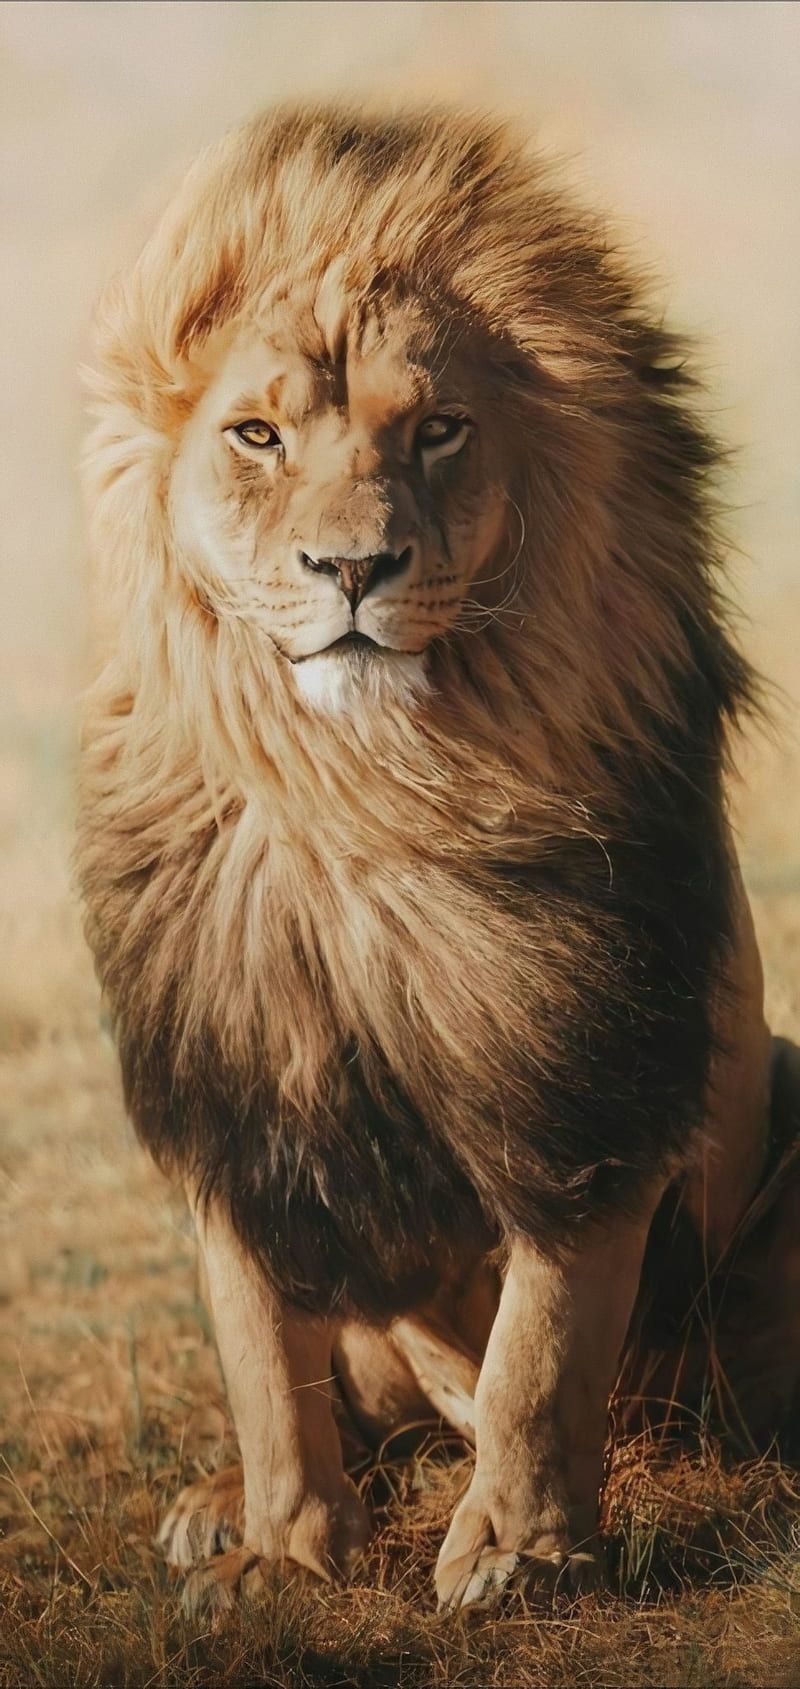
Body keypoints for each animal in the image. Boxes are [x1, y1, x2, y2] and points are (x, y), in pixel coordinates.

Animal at [77, 104, 790, 1610]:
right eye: (255, 435)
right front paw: (282, 1550)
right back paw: (214, 1507)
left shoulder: (585, 1075)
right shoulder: (230, 1076)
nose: (355, 568)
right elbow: (263, 1360)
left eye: (441, 431)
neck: (371, 790)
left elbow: (539, 1349)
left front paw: (515, 1551)